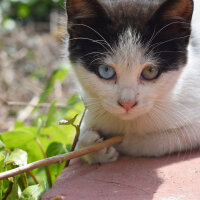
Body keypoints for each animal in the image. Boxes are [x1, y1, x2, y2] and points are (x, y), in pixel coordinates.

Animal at [65, 0, 200, 164]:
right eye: (106, 70)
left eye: (150, 71)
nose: (127, 104)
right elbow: (79, 142)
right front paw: (93, 146)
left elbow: (155, 141)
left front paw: (119, 141)